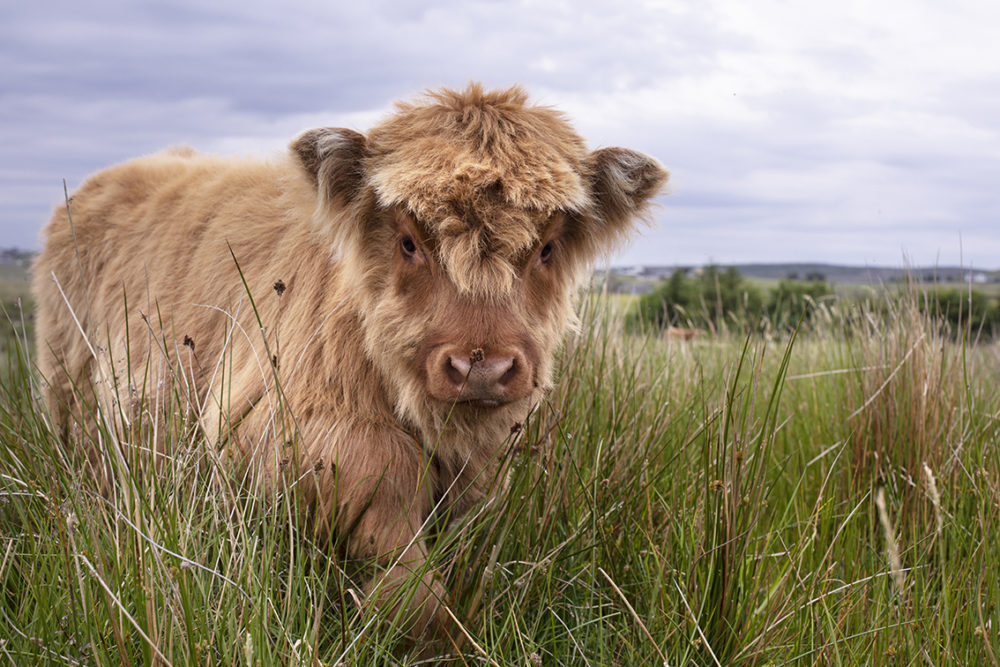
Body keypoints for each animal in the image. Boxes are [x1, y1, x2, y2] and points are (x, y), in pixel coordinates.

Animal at [33, 86, 672, 640]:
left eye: (547, 247)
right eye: (409, 242)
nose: (482, 367)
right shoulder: (266, 419)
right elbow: (386, 479)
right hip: (69, 392)